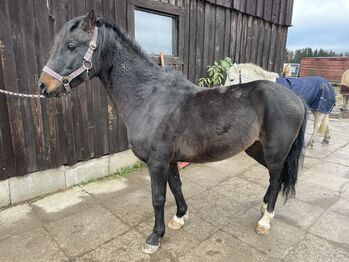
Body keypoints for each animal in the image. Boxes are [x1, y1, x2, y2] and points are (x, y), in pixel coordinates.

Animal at [38, 11, 304, 255]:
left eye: (71, 46)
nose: (43, 86)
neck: (148, 97)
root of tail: (296, 98)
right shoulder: (171, 160)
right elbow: (176, 187)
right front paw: (179, 217)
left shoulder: (156, 163)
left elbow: (158, 198)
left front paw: (154, 238)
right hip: (256, 149)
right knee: (274, 178)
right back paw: (263, 209)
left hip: (274, 152)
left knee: (276, 179)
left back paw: (265, 221)